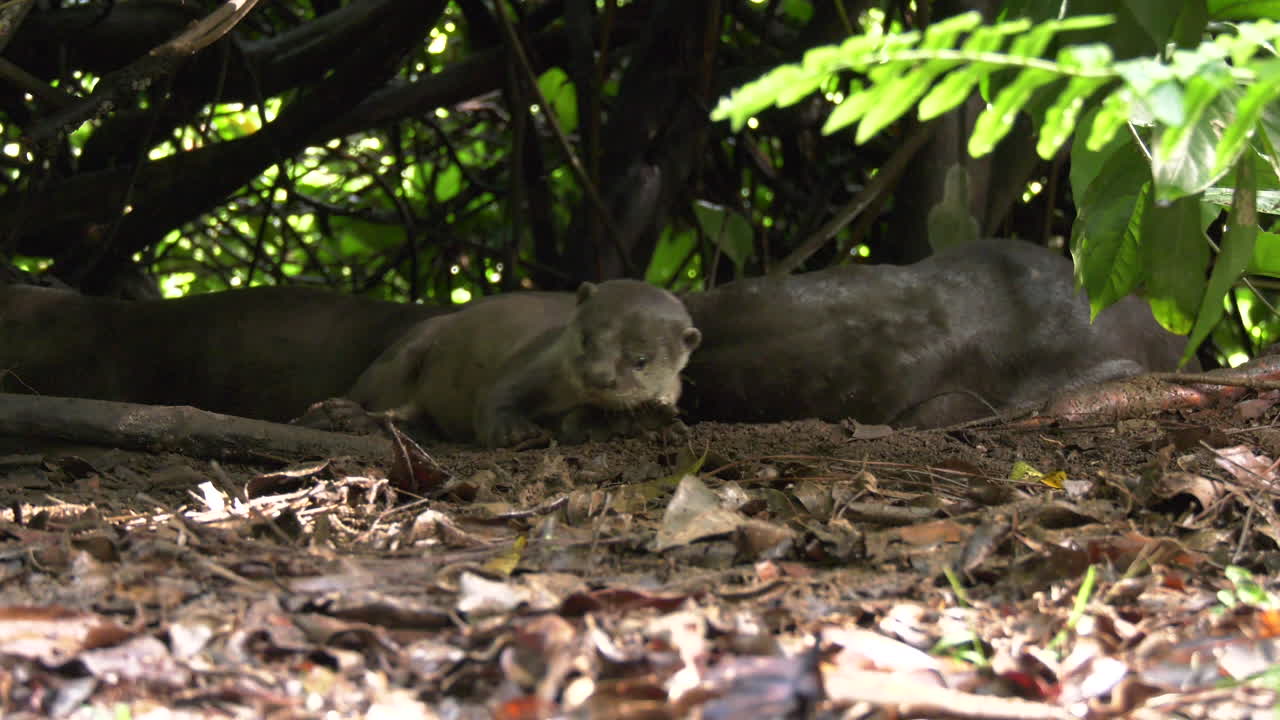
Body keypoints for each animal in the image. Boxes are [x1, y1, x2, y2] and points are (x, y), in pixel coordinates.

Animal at [347, 280, 702, 447]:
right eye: (586, 339)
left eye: (640, 360)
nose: (597, 376)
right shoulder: (538, 360)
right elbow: (497, 393)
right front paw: (512, 431)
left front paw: (650, 421)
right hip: (407, 349)